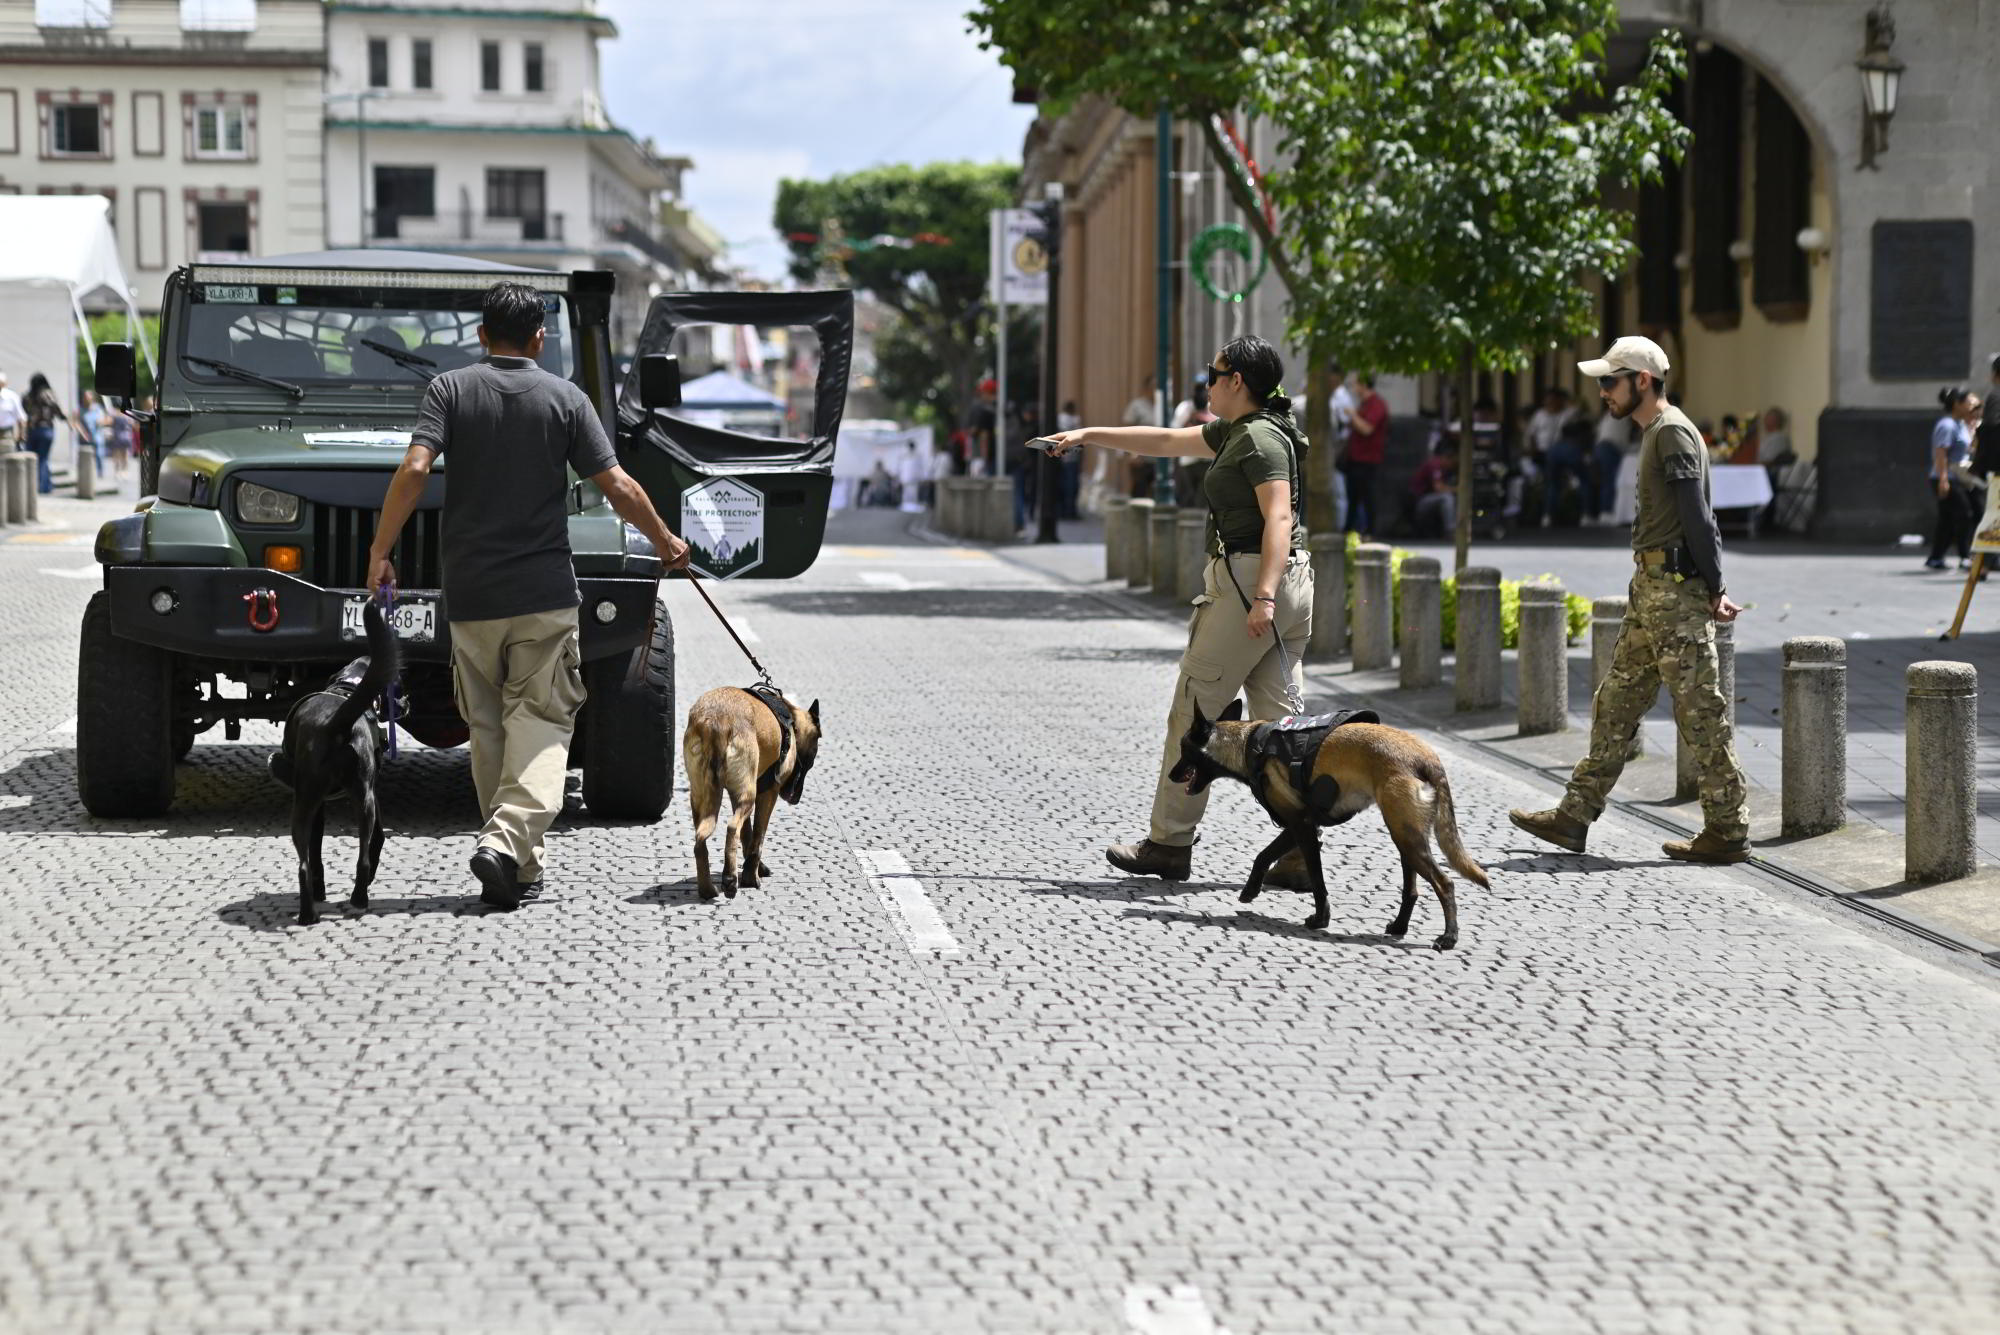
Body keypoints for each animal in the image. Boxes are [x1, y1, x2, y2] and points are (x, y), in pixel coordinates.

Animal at [270, 599, 402, 923]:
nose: (406, 703)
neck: (347, 688)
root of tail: (335, 722)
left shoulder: (318, 807)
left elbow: (315, 855)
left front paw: (319, 891)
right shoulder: (371, 793)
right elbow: (378, 839)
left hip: (304, 805)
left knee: (303, 865)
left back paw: (308, 913)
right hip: (362, 800)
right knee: (363, 857)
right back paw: (359, 899)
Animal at [680, 687, 820, 895]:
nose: (795, 798)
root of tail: (716, 720)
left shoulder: (735, 794)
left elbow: (747, 834)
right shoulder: (768, 793)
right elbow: (757, 839)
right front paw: (751, 877)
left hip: (701, 798)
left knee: (700, 840)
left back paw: (707, 889)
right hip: (748, 797)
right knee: (731, 828)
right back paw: (730, 879)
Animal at [1168, 699, 1488, 947]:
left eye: (1183, 750)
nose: (1171, 775)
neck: (1246, 743)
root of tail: (1427, 759)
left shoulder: (1302, 827)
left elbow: (1317, 881)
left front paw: (1320, 920)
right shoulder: (1298, 824)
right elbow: (1264, 855)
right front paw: (1251, 890)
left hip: (1407, 838)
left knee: (1445, 883)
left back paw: (1448, 938)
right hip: (1405, 837)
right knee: (1412, 889)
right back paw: (1399, 927)